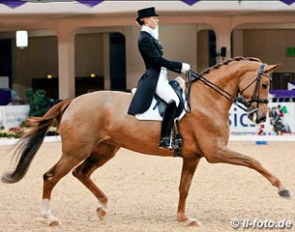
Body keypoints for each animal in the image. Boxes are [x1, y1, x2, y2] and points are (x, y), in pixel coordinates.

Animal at [0, 56, 292, 227]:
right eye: (264, 84)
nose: (260, 117)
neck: (208, 99)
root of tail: (73, 101)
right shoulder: (215, 151)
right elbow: (253, 161)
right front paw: (283, 189)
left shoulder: (193, 156)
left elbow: (184, 187)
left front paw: (183, 218)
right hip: (77, 150)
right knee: (51, 176)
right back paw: (49, 217)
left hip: (105, 150)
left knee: (81, 173)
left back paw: (103, 207)